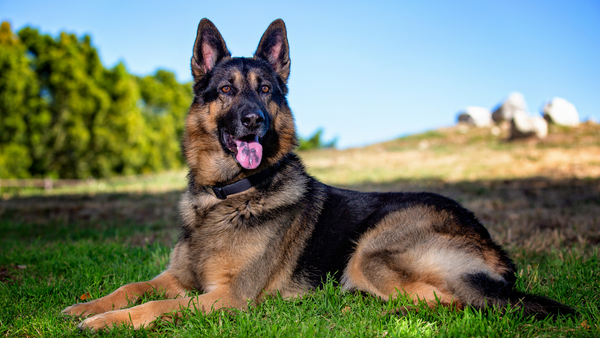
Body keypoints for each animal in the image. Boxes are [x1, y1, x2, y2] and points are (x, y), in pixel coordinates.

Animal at [62, 17, 572, 330]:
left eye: (266, 90)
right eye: (226, 90)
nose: (254, 121)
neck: (228, 196)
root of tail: (492, 246)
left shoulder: (226, 298)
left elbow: (157, 304)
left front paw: (102, 323)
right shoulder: (178, 278)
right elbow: (132, 287)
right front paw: (83, 306)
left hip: (371, 253)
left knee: (449, 302)